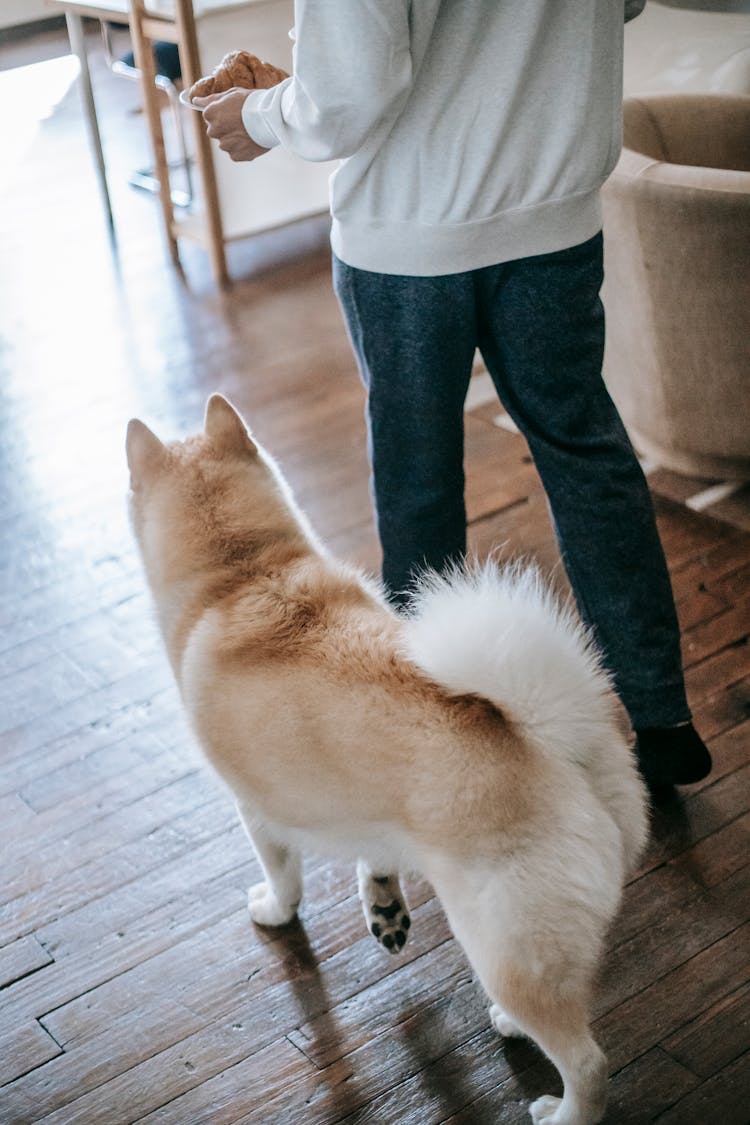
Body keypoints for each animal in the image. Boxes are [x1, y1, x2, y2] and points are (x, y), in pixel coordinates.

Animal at [125, 396, 647, 1125]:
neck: (241, 570)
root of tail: (549, 742)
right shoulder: (369, 806)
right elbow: (375, 856)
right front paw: (383, 908)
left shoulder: (255, 809)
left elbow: (283, 875)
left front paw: (274, 909)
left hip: (507, 944)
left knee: (588, 1062)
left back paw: (561, 1108)